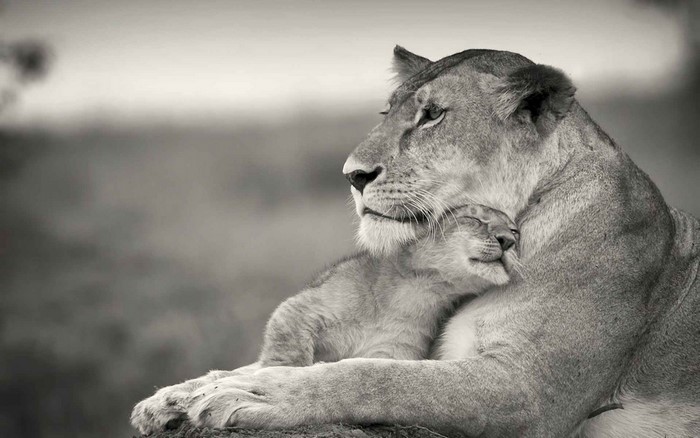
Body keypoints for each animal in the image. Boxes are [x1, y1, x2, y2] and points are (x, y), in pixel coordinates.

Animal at [131, 47, 700, 437]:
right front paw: (177, 396)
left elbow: (378, 377)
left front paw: (257, 393)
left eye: (432, 115)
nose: (352, 175)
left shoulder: (531, 391)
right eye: (387, 114)